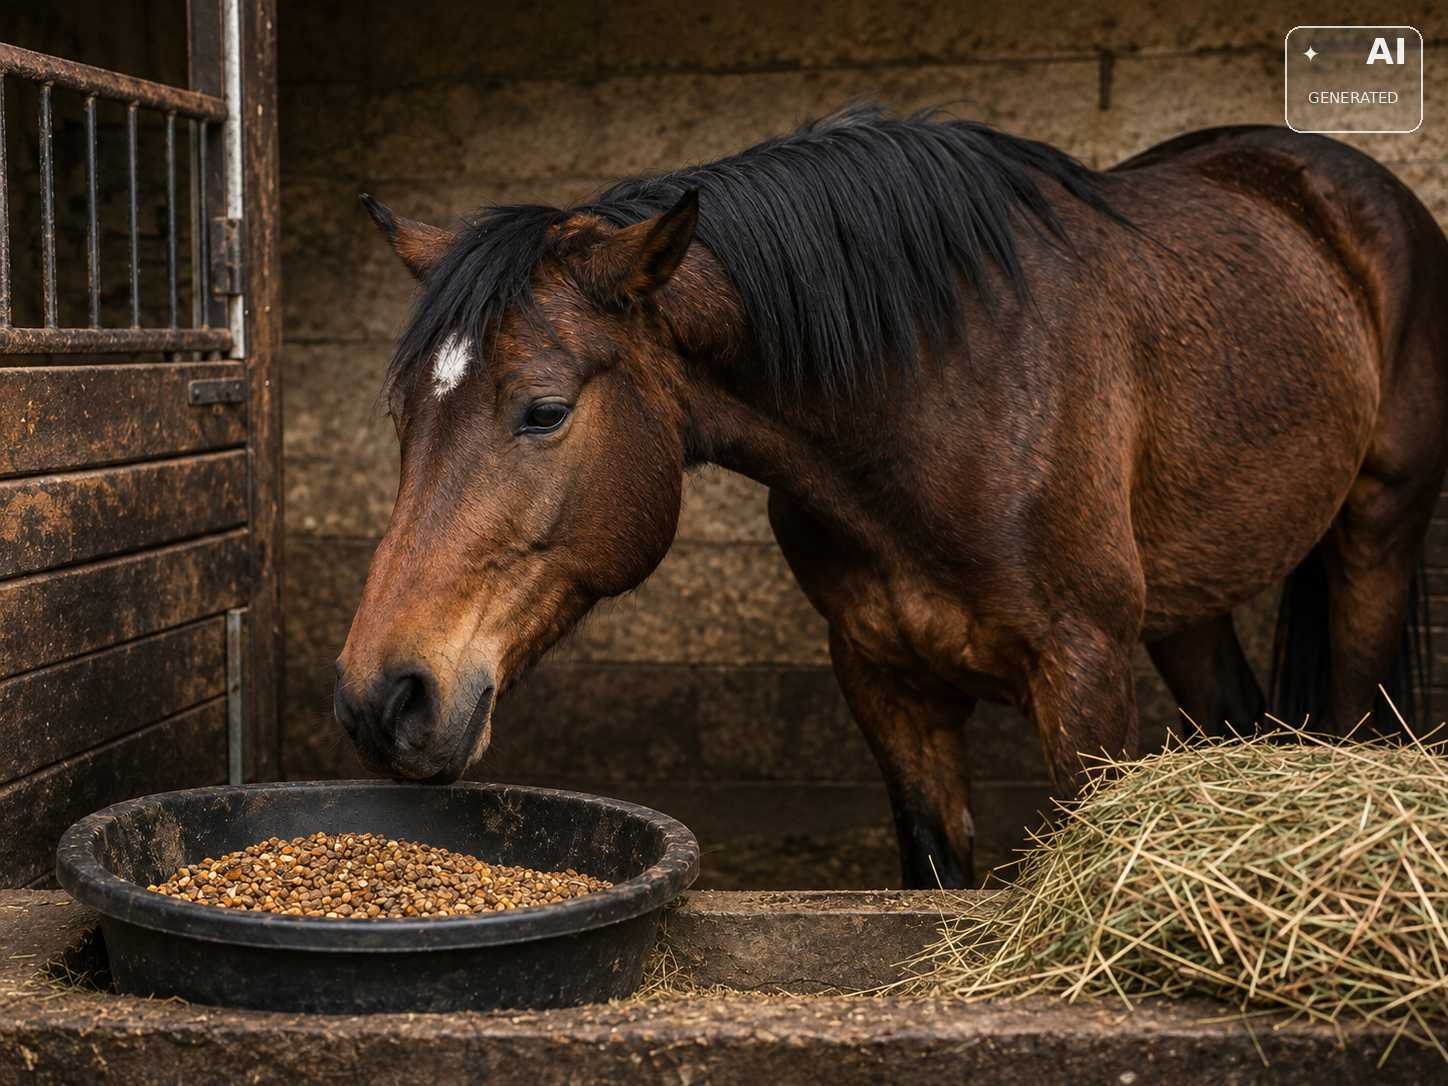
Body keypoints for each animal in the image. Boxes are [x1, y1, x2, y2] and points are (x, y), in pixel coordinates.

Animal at [334, 107, 1448, 888]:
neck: (937, 397)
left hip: (1375, 533)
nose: (380, 700)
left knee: (1354, 713)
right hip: (1186, 603)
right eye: (401, 415)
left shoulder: (1082, 674)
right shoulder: (884, 683)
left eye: (544, 411)